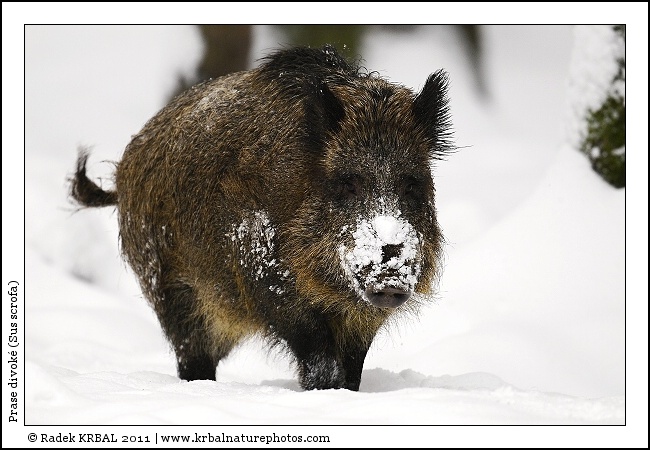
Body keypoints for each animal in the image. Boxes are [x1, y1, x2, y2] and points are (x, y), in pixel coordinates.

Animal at [70, 44, 453, 391]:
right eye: (348, 183)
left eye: (412, 184)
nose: (391, 275)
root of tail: (125, 169)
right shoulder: (264, 271)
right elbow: (318, 355)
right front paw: (324, 393)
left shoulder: (361, 319)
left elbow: (352, 368)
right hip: (168, 287)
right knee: (191, 359)